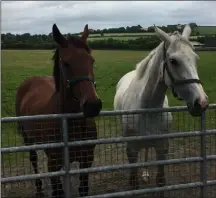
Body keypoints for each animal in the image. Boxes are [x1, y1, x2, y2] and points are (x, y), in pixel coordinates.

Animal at [15, 24, 102, 197]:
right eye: (66, 63)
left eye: (92, 61)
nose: (93, 105)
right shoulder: (53, 165)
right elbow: (58, 190)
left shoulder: (86, 159)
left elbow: (83, 189)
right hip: (28, 139)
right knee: (33, 159)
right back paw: (39, 188)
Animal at [114, 24, 208, 196]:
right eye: (173, 61)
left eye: (196, 59)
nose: (202, 102)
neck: (147, 107)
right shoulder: (131, 149)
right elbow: (133, 182)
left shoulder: (162, 148)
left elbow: (160, 181)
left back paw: (145, 173)